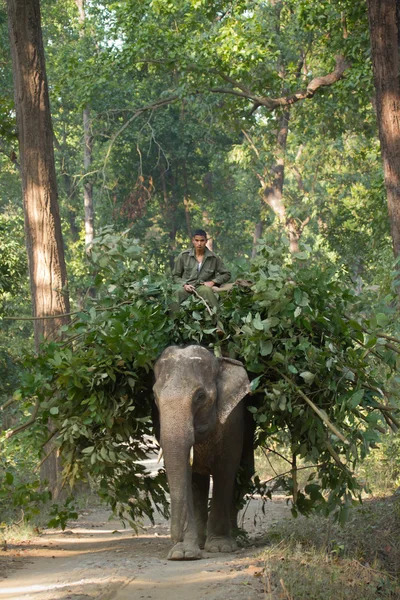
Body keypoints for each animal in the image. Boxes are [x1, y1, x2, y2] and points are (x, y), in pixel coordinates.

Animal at [153, 344, 253, 560]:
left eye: (200, 397)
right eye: (155, 397)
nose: (174, 538)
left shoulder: (232, 422)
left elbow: (225, 471)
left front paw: (220, 547)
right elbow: (187, 477)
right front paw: (183, 553)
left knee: (243, 476)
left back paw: (236, 538)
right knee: (199, 483)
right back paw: (200, 541)